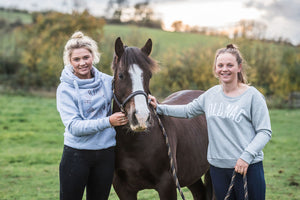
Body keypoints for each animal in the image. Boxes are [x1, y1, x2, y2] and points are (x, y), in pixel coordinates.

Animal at [111, 37, 212, 200]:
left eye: (149, 75)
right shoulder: (123, 189)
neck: (134, 144)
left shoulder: (167, 185)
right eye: (121, 75)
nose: (141, 117)